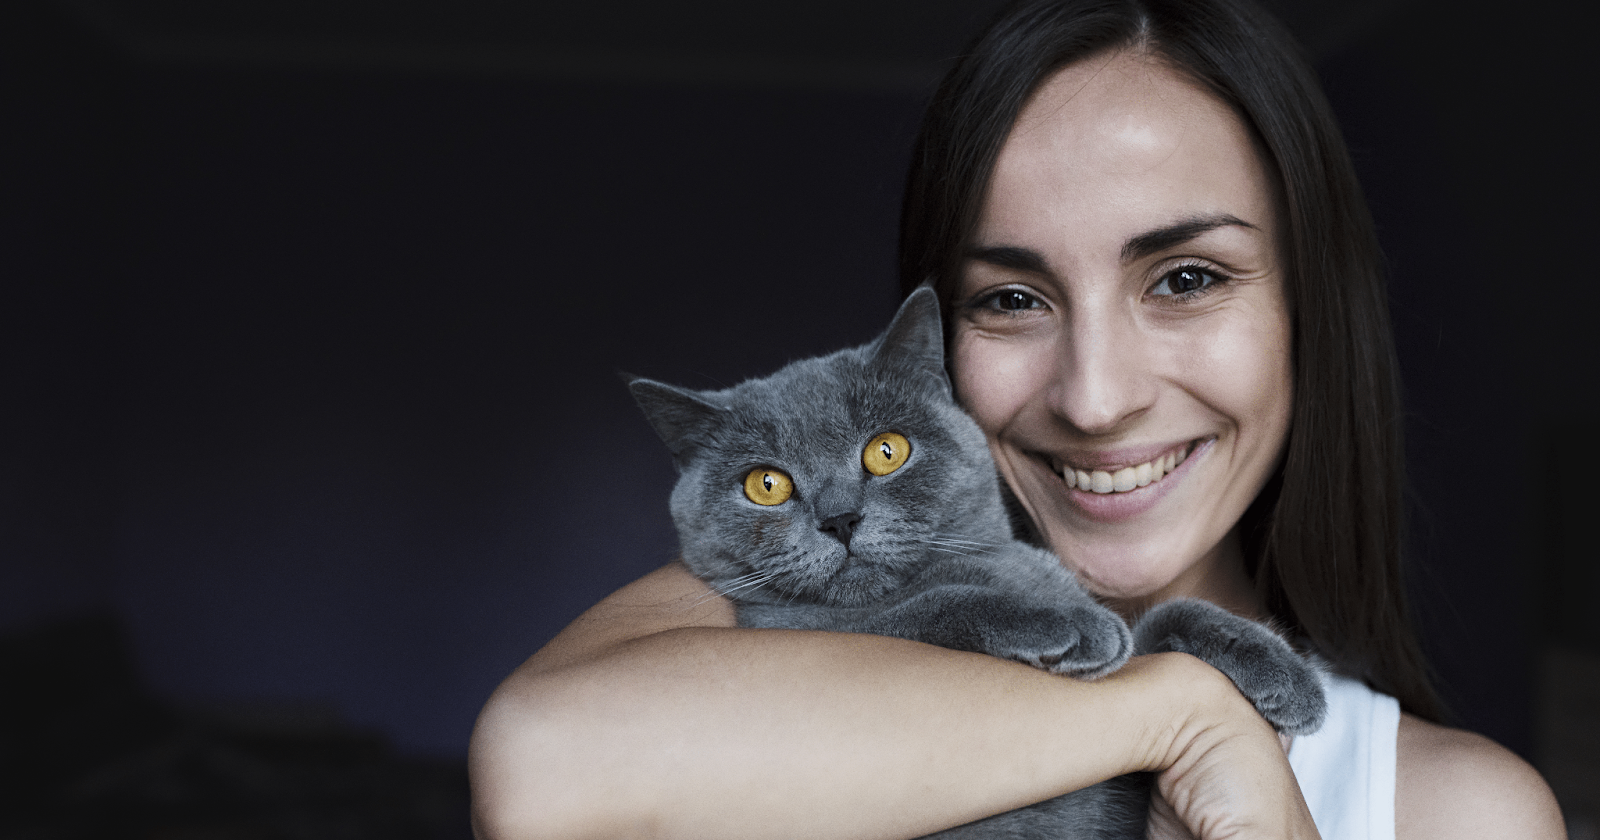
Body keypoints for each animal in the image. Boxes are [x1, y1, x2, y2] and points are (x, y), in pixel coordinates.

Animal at [624, 284, 1324, 832]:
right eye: (765, 485)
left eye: (886, 450)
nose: (839, 518)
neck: (1004, 565)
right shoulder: (819, 631)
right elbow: (933, 607)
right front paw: (1072, 626)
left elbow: (1165, 617)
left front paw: (1287, 677)